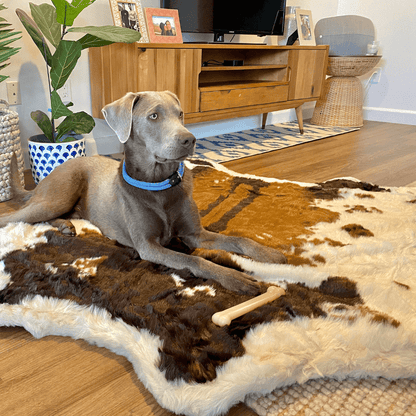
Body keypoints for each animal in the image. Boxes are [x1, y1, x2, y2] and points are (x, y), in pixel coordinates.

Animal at [0, 91, 286, 294]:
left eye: (180, 114)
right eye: (154, 116)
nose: (190, 140)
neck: (158, 185)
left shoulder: (194, 234)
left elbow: (239, 240)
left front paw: (271, 255)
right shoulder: (148, 247)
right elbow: (195, 261)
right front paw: (235, 278)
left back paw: (66, 226)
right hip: (58, 195)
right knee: (17, 216)